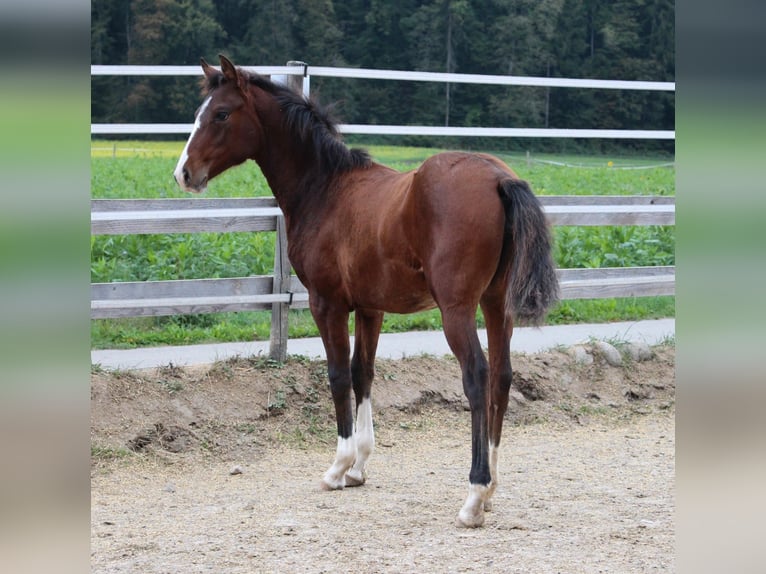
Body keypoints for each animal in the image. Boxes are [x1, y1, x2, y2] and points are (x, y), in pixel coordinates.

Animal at [174, 56, 560, 528]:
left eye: (222, 114)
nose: (184, 173)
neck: (326, 188)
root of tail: (499, 179)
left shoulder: (327, 304)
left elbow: (338, 374)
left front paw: (337, 467)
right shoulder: (370, 308)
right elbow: (364, 373)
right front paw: (359, 467)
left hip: (457, 310)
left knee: (477, 377)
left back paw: (474, 494)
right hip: (495, 305)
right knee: (502, 377)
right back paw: (491, 490)